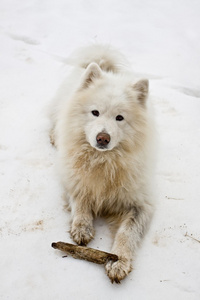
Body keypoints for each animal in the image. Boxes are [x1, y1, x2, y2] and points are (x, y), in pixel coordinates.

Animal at [49, 44, 155, 284]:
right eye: (95, 112)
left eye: (119, 118)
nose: (103, 138)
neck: (103, 162)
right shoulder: (74, 180)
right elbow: (80, 200)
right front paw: (82, 227)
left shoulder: (142, 205)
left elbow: (127, 233)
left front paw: (118, 261)